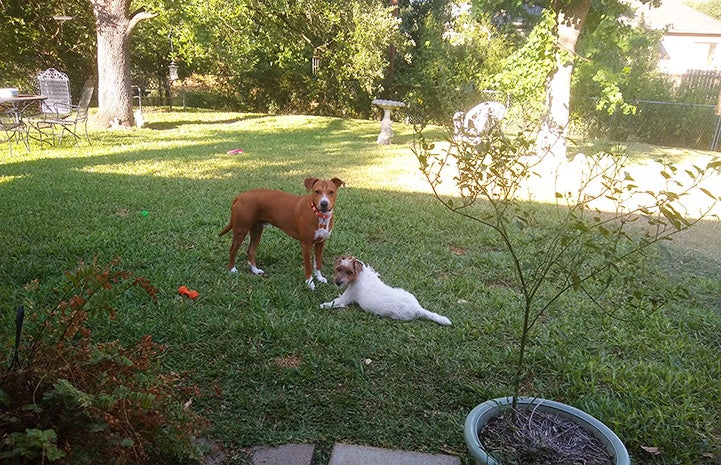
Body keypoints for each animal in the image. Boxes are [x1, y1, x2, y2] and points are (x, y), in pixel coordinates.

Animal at [320, 256, 450, 324]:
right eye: (339, 269)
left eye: (349, 272)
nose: (338, 282)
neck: (361, 274)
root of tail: (418, 309)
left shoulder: (346, 297)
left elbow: (334, 302)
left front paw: (324, 305)